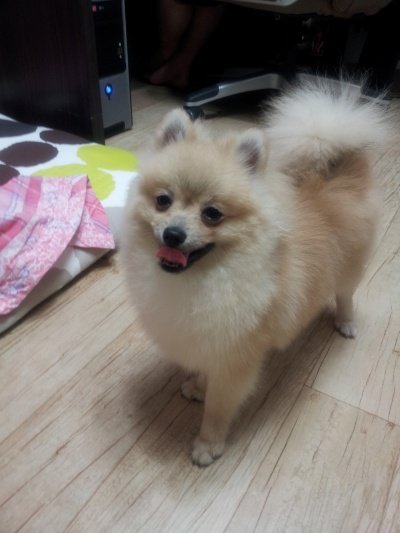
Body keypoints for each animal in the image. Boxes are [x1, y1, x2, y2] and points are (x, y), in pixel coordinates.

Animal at [121, 80, 387, 466]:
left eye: (212, 214)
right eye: (163, 201)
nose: (173, 234)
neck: (206, 277)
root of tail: (341, 167)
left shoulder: (236, 361)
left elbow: (218, 408)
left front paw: (208, 445)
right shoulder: (207, 340)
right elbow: (203, 371)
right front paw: (197, 385)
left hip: (351, 266)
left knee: (346, 294)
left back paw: (346, 322)